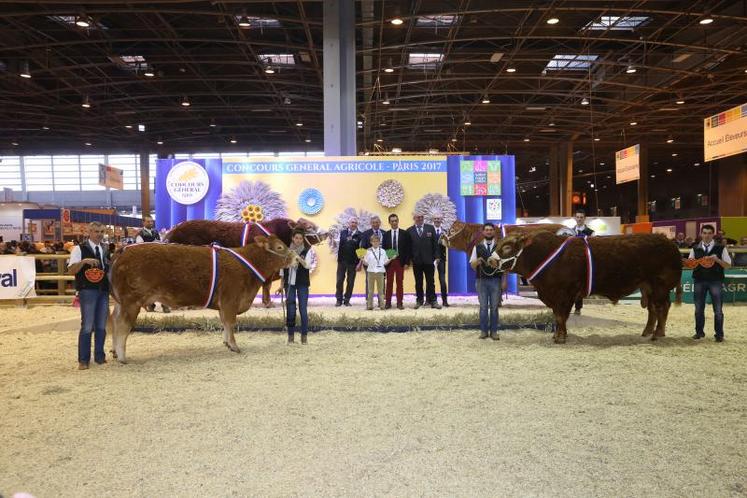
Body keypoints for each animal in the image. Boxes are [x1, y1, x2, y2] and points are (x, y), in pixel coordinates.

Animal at [109, 234, 296, 362]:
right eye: (280, 247)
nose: (295, 258)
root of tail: (123, 250)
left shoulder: (224, 304)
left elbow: (224, 323)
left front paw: (227, 343)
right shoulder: (230, 299)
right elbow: (230, 323)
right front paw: (235, 346)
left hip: (121, 302)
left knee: (113, 320)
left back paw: (114, 352)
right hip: (131, 301)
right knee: (123, 325)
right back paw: (122, 356)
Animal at [488, 232, 688, 342]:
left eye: (507, 247)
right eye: (498, 245)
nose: (490, 260)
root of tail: (668, 241)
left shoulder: (565, 293)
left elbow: (561, 316)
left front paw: (560, 337)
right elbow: (558, 316)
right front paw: (557, 335)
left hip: (660, 285)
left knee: (662, 307)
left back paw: (658, 334)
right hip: (648, 286)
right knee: (653, 309)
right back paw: (647, 332)